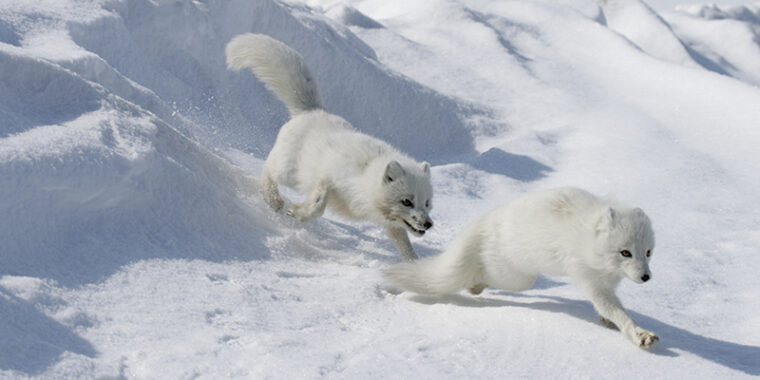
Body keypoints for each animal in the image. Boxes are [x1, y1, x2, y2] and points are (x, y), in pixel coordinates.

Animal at [224, 34, 434, 262]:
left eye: (427, 203)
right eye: (406, 201)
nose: (428, 224)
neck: (365, 178)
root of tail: (312, 110)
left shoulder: (389, 222)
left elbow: (404, 242)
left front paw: (415, 265)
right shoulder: (327, 178)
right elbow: (318, 204)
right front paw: (298, 212)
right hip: (289, 172)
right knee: (267, 169)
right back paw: (273, 199)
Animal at [386, 187, 660, 348]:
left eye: (648, 252)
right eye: (625, 252)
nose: (646, 277)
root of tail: (485, 222)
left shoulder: (608, 283)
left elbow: (610, 310)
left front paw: (609, 321)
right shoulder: (590, 280)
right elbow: (618, 312)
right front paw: (638, 333)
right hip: (518, 278)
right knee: (483, 276)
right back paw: (475, 287)